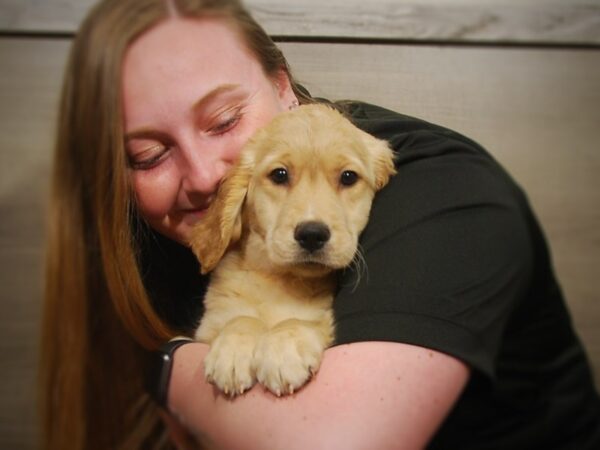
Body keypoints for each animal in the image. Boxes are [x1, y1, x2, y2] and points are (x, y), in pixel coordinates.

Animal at [190, 103, 396, 396]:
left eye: (348, 177)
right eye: (279, 175)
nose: (312, 235)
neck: (281, 280)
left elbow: (300, 321)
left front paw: (283, 348)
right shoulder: (208, 326)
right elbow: (240, 319)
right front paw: (233, 348)